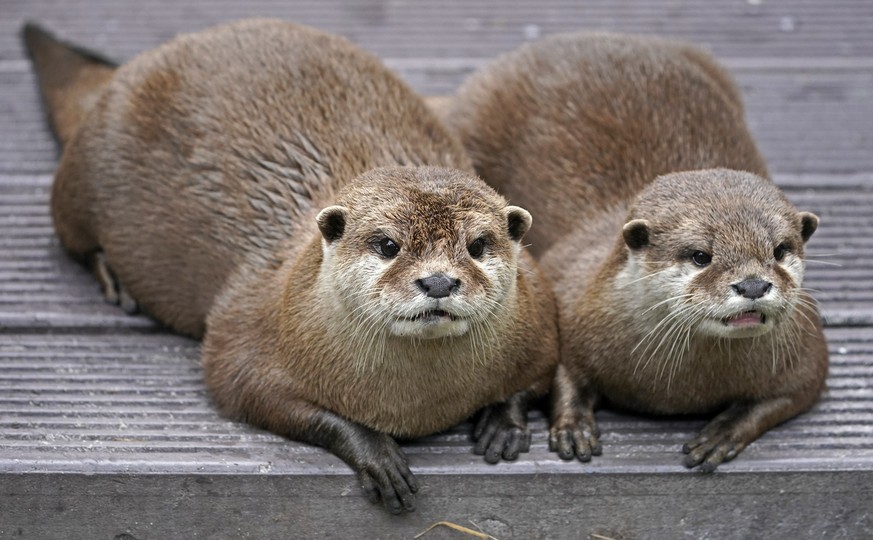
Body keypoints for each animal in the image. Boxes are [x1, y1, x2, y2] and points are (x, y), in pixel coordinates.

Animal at [27, 19, 564, 512]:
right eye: (388, 244)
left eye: (478, 244)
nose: (437, 281)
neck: (418, 406)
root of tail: (130, 70)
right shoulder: (251, 336)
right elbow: (255, 392)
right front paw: (376, 452)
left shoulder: (540, 317)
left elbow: (537, 376)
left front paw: (504, 423)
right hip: (79, 179)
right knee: (75, 237)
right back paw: (116, 280)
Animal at [440, 31, 828, 470]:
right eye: (700, 255)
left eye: (780, 250)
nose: (752, 285)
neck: (677, 390)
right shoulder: (571, 302)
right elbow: (563, 373)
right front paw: (573, 426)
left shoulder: (806, 352)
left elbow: (788, 397)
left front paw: (725, 432)